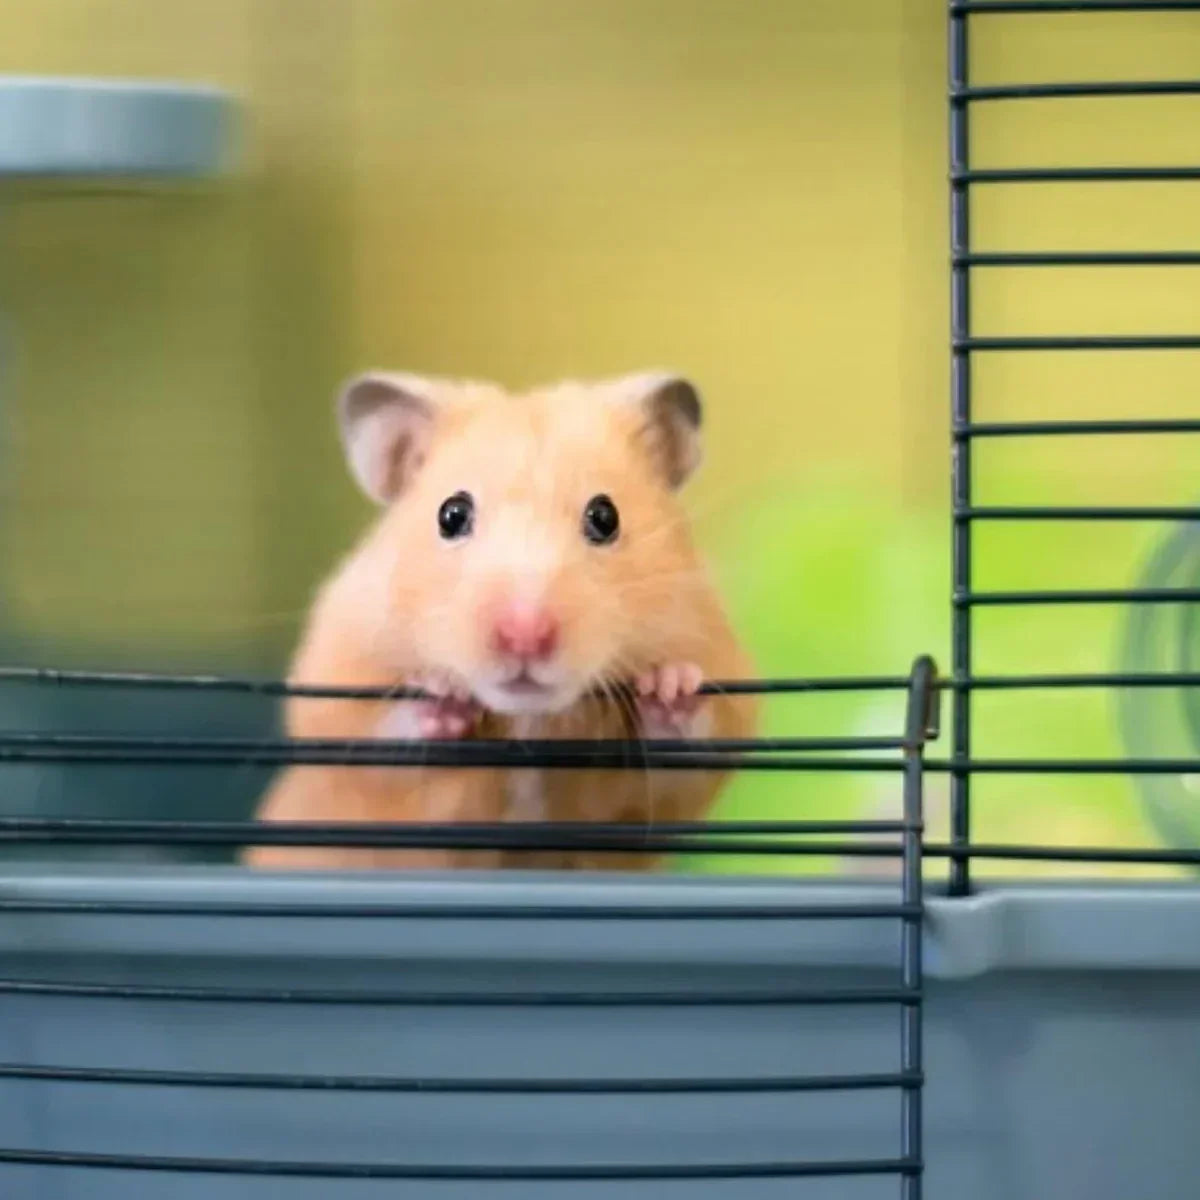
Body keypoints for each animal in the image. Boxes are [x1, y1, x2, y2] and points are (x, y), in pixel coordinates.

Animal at [246, 370, 758, 871]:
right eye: (451, 515)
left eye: (605, 516)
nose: (524, 637)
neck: (527, 718)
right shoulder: (337, 674)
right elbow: (371, 730)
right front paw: (442, 696)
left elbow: (694, 742)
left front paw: (670, 684)